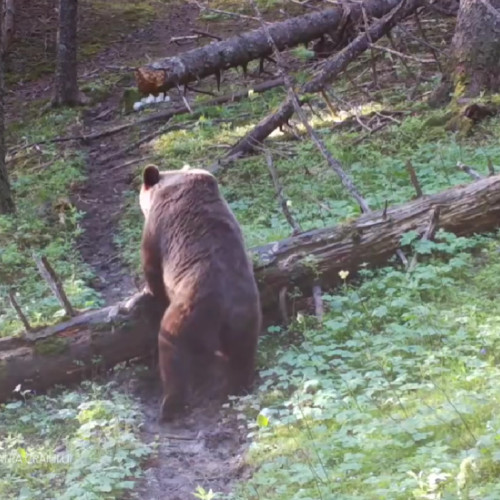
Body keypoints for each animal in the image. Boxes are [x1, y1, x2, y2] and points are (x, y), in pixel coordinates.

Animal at [138, 165, 262, 422]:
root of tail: (223, 309)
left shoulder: (157, 225)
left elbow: (151, 263)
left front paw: (148, 289)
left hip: (187, 313)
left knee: (172, 353)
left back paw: (169, 405)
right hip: (246, 317)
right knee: (242, 354)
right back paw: (239, 385)